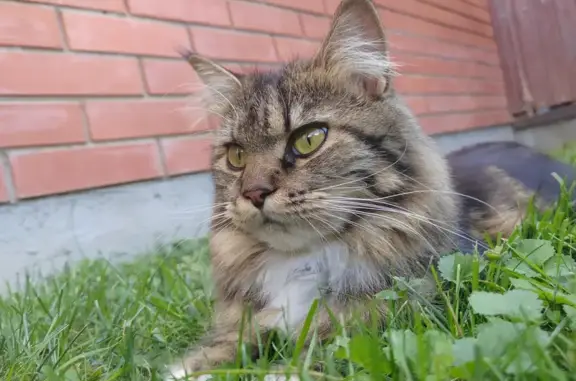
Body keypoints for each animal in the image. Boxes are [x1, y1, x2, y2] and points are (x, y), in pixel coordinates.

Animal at [165, 0, 576, 380]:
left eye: (309, 139)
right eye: (236, 156)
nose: (253, 193)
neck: (304, 260)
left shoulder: (407, 307)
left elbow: (325, 351)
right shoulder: (251, 320)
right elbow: (225, 345)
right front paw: (190, 368)